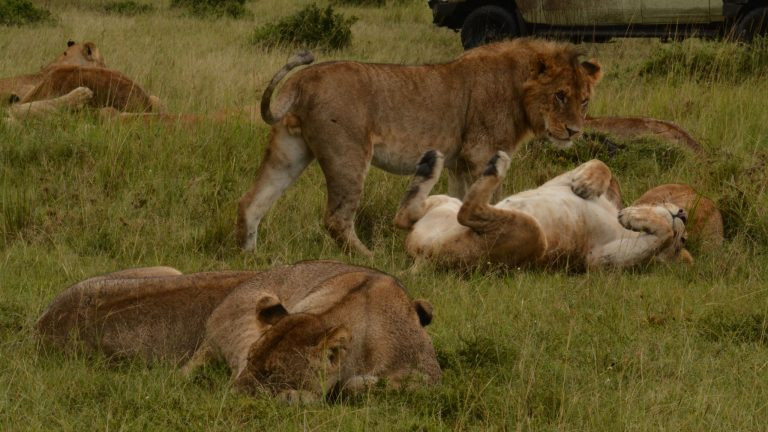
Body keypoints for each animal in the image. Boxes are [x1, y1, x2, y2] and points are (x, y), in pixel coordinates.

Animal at [237, 39, 604, 257]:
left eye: (584, 101)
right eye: (560, 96)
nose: (574, 131)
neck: (517, 89)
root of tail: (302, 80)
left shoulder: (460, 163)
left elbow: (460, 198)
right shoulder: (480, 154)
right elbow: (494, 198)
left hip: (290, 151)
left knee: (252, 201)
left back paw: (249, 255)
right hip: (349, 155)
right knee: (336, 219)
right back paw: (372, 257)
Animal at [393, 150, 692, 270]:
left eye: (682, 242)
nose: (684, 216)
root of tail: (421, 258)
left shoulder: (597, 261)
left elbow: (660, 236)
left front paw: (633, 217)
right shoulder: (558, 182)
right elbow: (602, 164)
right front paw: (586, 184)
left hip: (534, 236)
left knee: (467, 211)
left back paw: (496, 165)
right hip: (445, 201)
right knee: (404, 216)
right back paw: (430, 163)